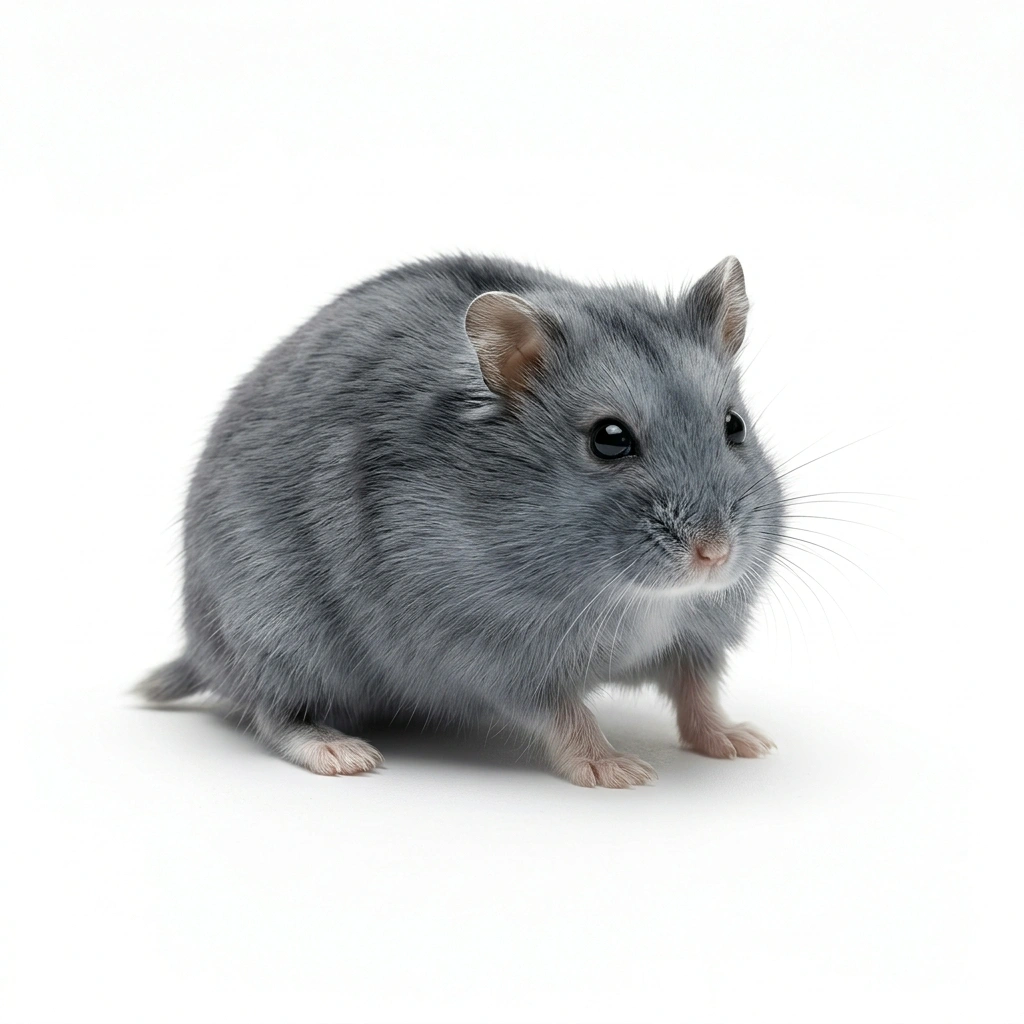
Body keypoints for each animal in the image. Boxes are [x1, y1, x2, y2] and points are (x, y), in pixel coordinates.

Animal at [137, 254, 783, 787]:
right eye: (610, 439)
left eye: (734, 426)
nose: (714, 554)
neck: (643, 598)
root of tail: (200, 650)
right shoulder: (497, 654)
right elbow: (567, 714)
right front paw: (619, 771)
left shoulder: (699, 639)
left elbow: (698, 695)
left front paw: (746, 744)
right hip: (278, 637)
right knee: (273, 713)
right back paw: (345, 754)